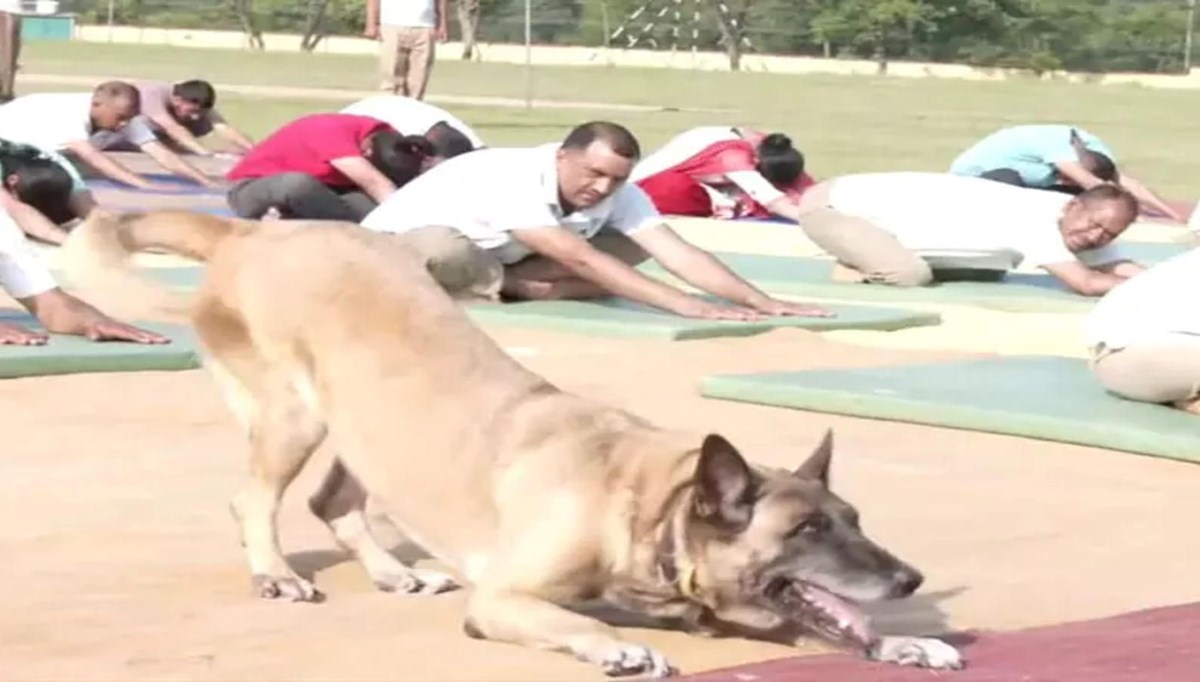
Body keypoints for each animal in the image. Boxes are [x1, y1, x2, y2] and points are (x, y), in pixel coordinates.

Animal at [63, 210, 964, 677]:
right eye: (806, 530)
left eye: (853, 518)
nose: (909, 579)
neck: (645, 501)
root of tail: (248, 230)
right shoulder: (503, 599)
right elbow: (577, 620)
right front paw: (619, 646)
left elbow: (834, 627)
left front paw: (904, 639)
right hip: (295, 415)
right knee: (253, 497)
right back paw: (276, 572)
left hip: (364, 427)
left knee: (333, 499)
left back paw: (391, 569)